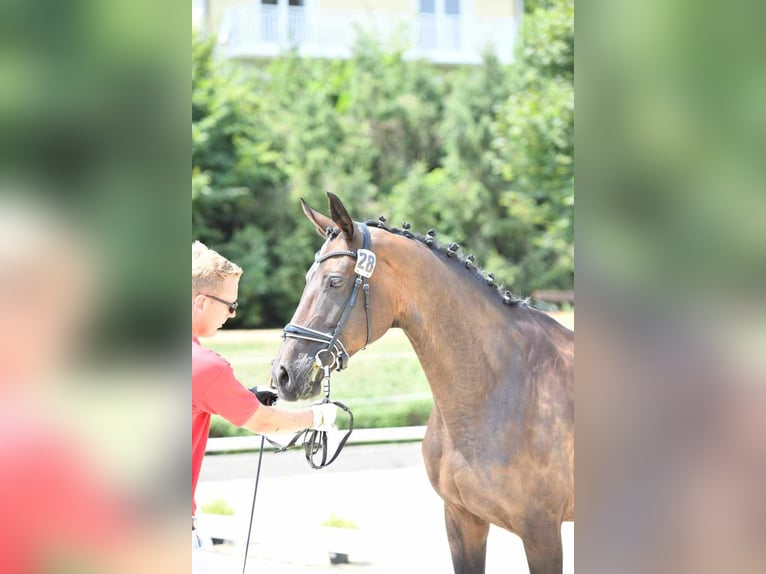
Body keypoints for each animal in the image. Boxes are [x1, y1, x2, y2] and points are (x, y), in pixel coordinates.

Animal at [272, 195, 572, 574]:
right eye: (308, 278)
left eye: (335, 282)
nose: (283, 373)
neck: (497, 386)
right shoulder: (462, 520)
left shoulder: (541, 532)